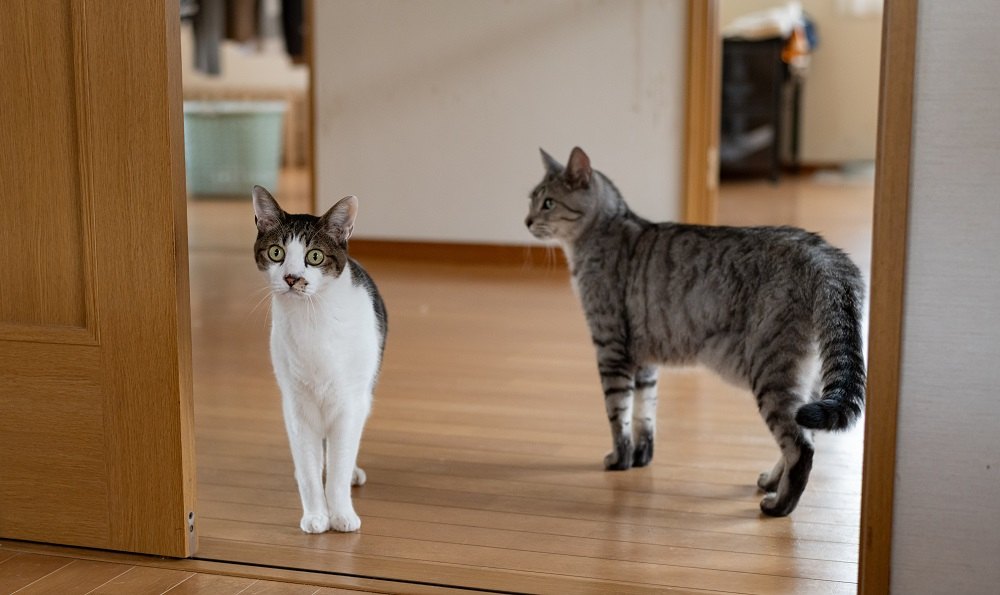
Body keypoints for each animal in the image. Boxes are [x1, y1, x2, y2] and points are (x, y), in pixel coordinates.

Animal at [254, 184, 386, 532]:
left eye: (314, 256)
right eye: (276, 253)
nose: (291, 278)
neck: (311, 319)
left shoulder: (350, 401)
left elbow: (339, 466)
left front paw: (341, 515)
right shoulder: (297, 404)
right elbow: (310, 470)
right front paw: (315, 516)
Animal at [528, 148, 864, 516]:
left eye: (547, 203)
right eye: (531, 199)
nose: (526, 220)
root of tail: (826, 255)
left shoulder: (611, 348)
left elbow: (618, 413)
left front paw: (619, 459)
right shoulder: (644, 359)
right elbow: (645, 412)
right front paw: (641, 457)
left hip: (771, 371)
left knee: (801, 447)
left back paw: (779, 505)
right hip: (803, 378)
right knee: (806, 435)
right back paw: (772, 481)